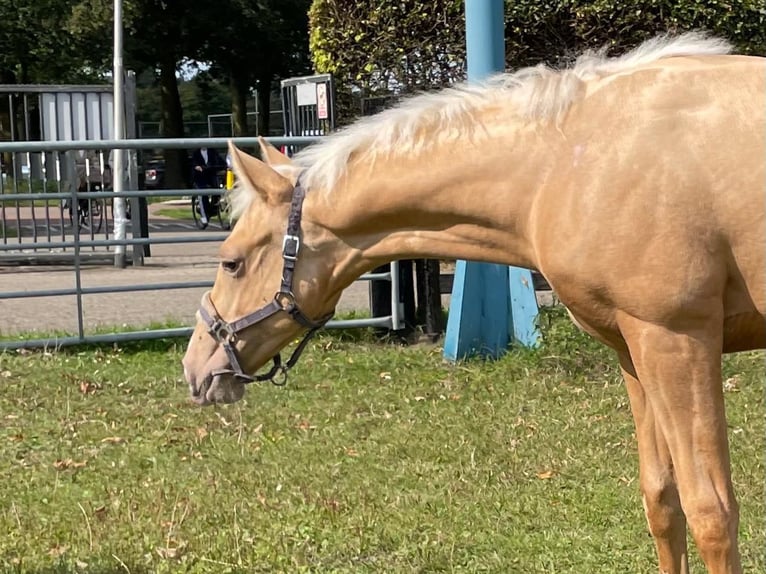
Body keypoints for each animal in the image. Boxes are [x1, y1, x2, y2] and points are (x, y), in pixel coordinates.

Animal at [183, 32, 764, 574]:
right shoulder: (632, 351)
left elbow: (711, 512)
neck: (573, 160)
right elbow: (662, 501)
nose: (196, 368)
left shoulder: (676, 341)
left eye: (231, 262)